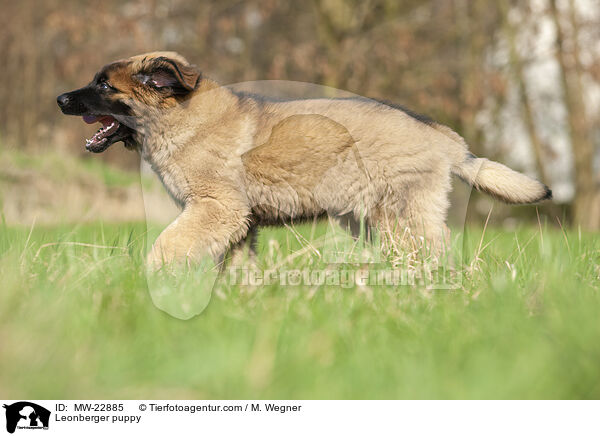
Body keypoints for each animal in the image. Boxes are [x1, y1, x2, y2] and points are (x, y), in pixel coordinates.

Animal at [57, 52, 552, 268]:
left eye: (104, 86)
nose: (60, 99)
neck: (179, 116)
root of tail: (443, 136)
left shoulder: (217, 207)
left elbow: (168, 244)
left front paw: (153, 278)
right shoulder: (238, 221)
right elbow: (236, 263)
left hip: (401, 215)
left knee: (433, 254)